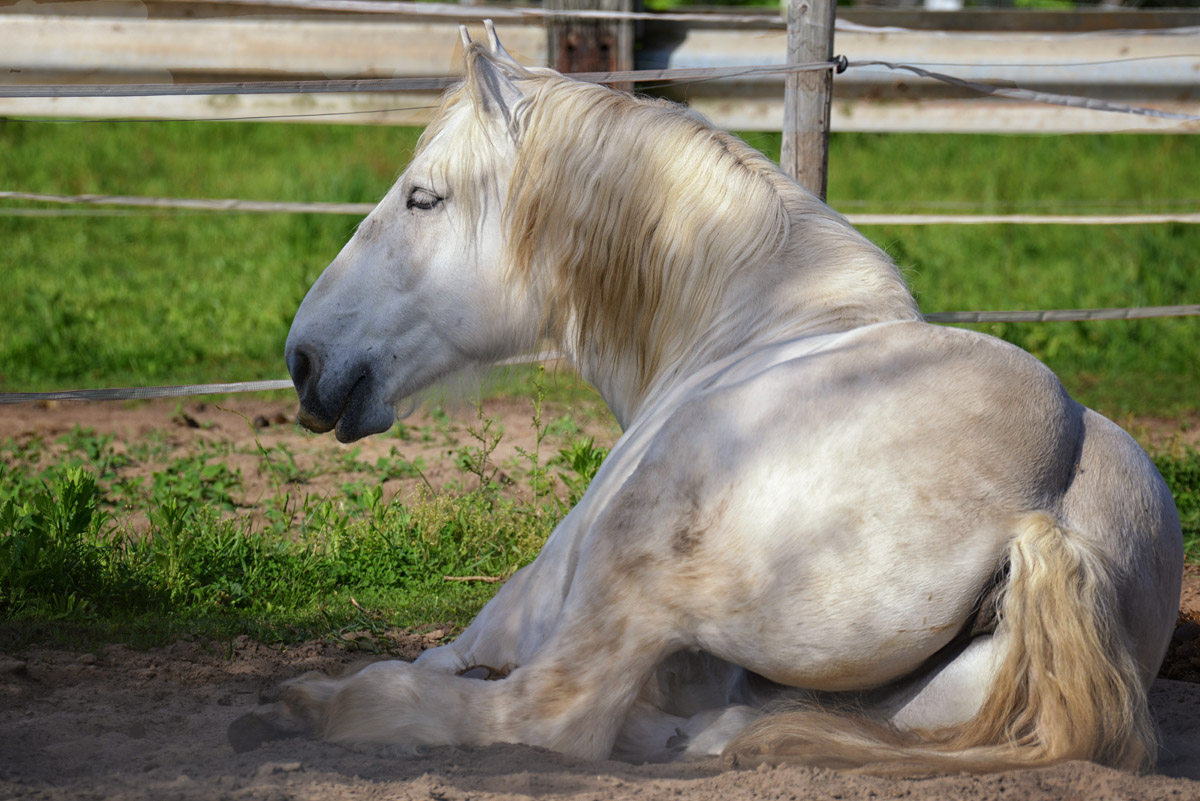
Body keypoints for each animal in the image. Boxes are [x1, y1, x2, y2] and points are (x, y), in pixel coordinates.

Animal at [230, 21, 1183, 773]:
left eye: (424, 197)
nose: (305, 358)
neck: (755, 316)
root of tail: (1044, 513)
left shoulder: (519, 612)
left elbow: (447, 661)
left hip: (634, 561)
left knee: (546, 714)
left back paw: (310, 706)